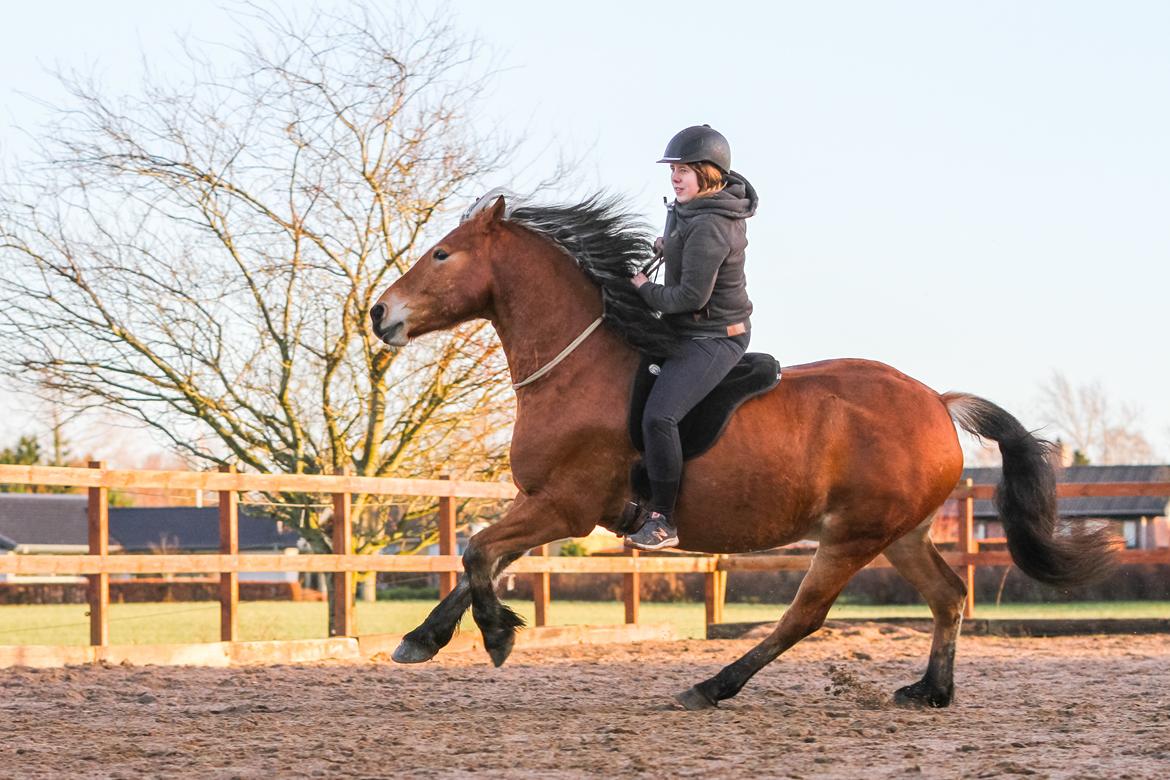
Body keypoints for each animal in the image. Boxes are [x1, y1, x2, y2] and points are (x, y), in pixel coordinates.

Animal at [367, 191, 1113, 711]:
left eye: (442, 254)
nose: (379, 314)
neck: (576, 368)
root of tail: (936, 401)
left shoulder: (565, 508)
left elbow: (477, 553)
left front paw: (496, 637)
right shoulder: (542, 504)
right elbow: (478, 561)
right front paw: (421, 640)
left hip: (851, 536)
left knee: (804, 617)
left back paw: (711, 686)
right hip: (900, 534)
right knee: (948, 595)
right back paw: (931, 691)